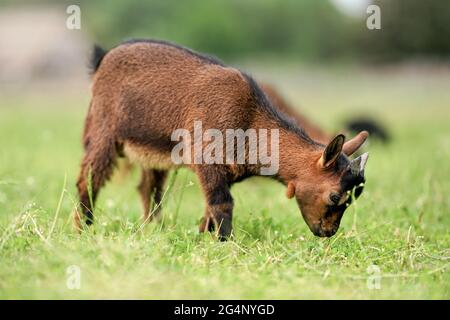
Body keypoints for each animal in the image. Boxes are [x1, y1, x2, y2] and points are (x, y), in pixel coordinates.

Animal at [74, 39, 370, 238]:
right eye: (335, 196)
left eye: (353, 198)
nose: (328, 232)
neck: (249, 120)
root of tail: (102, 58)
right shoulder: (207, 159)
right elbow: (222, 203)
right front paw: (225, 242)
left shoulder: (226, 172)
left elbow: (210, 208)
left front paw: (203, 237)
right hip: (103, 130)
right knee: (89, 179)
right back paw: (83, 228)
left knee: (149, 188)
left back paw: (154, 229)